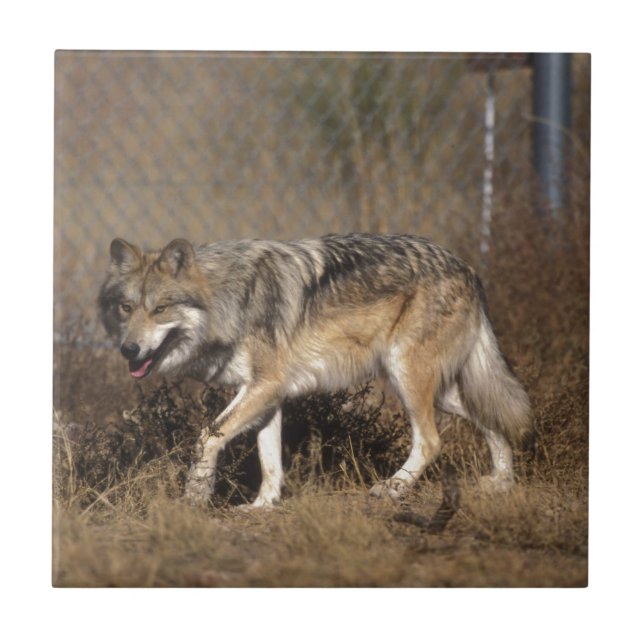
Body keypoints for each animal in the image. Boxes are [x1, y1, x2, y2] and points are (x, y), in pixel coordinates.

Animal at [98, 233, 533, 507]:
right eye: (126, 308)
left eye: (160, 309)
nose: (129, 349)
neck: (229, 300)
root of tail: (468, 269)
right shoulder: (266, 394)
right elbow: (270, 461)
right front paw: (262, 506)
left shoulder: (264, 386)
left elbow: (207, 436)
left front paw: (195, 497)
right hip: (439, 390)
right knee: (494, 418)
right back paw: (502, 483)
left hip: (408, 379)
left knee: (431, 441)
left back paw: (392, 489)